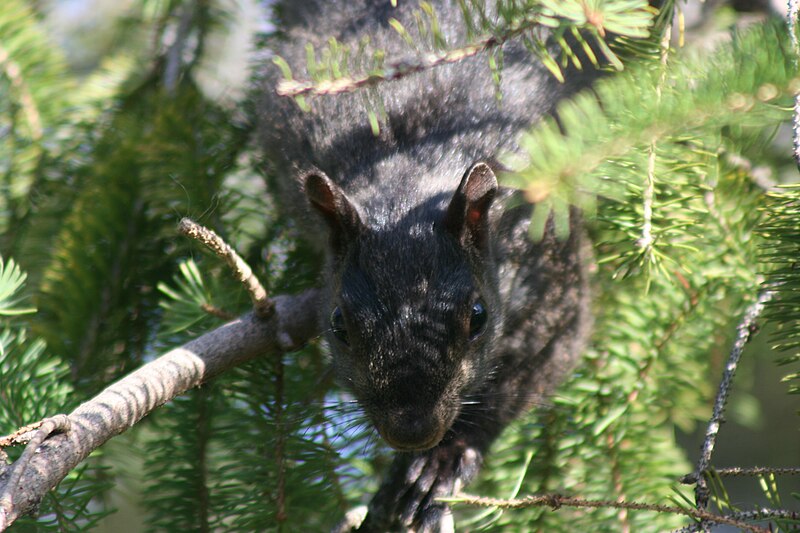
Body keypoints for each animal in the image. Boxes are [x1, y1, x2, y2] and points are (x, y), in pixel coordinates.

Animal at [256, 2, 592, 528]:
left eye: (478, 317)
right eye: (339, 324)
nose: (412, 432)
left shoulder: (555, 269)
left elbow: (536, 364)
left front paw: (443, 462)